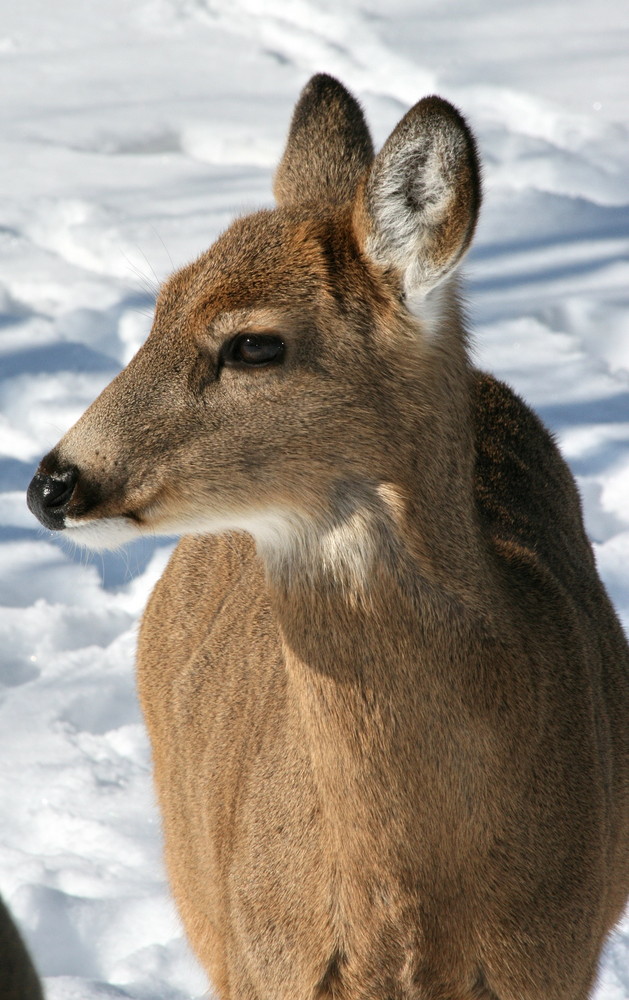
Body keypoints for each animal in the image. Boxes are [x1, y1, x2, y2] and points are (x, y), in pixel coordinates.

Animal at [25, 74, 628, 996]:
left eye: (252, 344)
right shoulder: (263, 958)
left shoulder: (558, 955)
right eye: (156, 308)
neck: (406, 910)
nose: (52, 483)